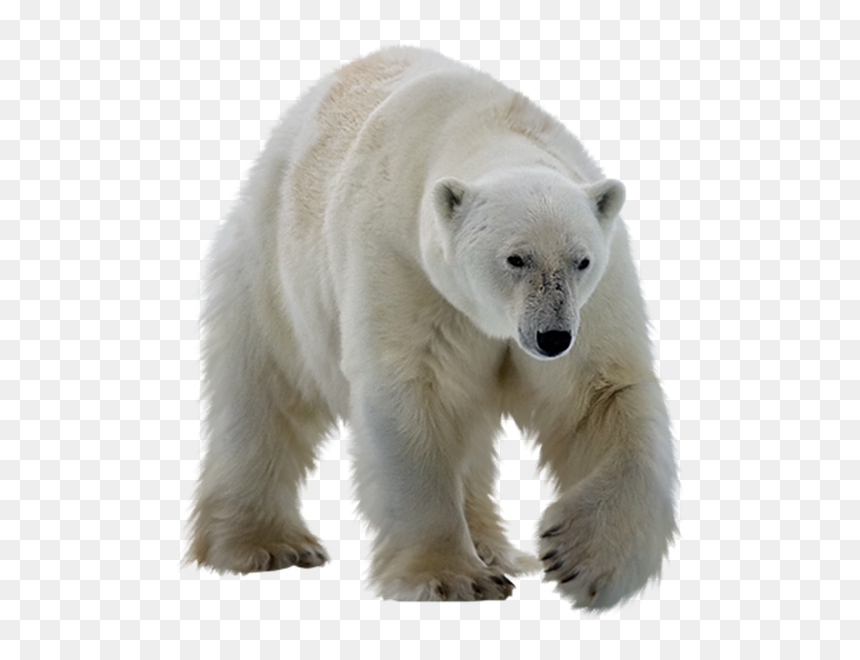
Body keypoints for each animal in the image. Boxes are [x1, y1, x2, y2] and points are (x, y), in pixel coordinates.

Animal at [187, 46, 678, 609]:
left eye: (581, 260)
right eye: (515, 258)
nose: (552, 338)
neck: (482, 125)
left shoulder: (594, 300)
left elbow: (601, 394)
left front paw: (582, 557)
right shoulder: (403, 265)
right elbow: (415, 395)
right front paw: (453, 578)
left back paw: (492, 546)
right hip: (274, 276)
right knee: (261, 397)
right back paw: (264, 544)